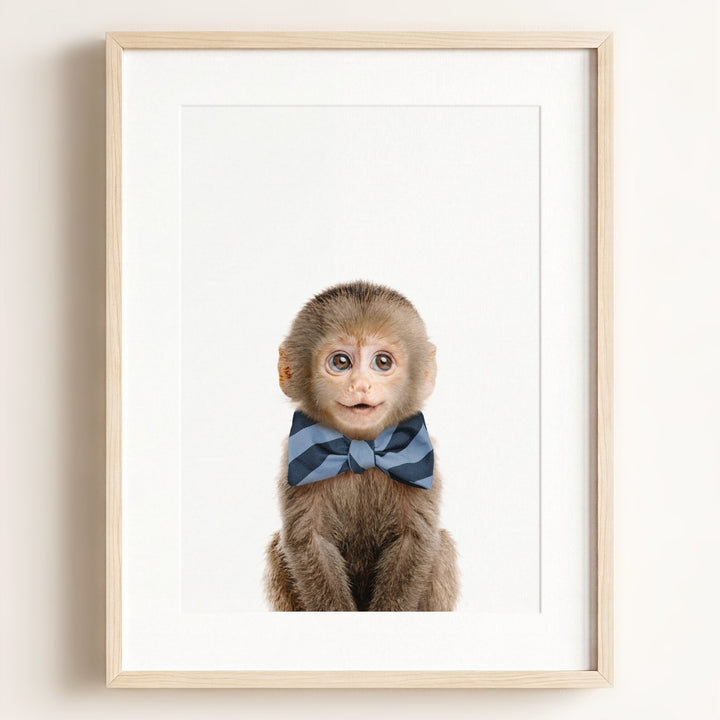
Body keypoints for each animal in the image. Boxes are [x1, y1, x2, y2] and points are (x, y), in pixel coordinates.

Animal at [264, 281, 458, 611]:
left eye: (382, 362)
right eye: (341, 362)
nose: (360, 386)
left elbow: (415, 540)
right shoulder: (295, 457)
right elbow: (309, 542)